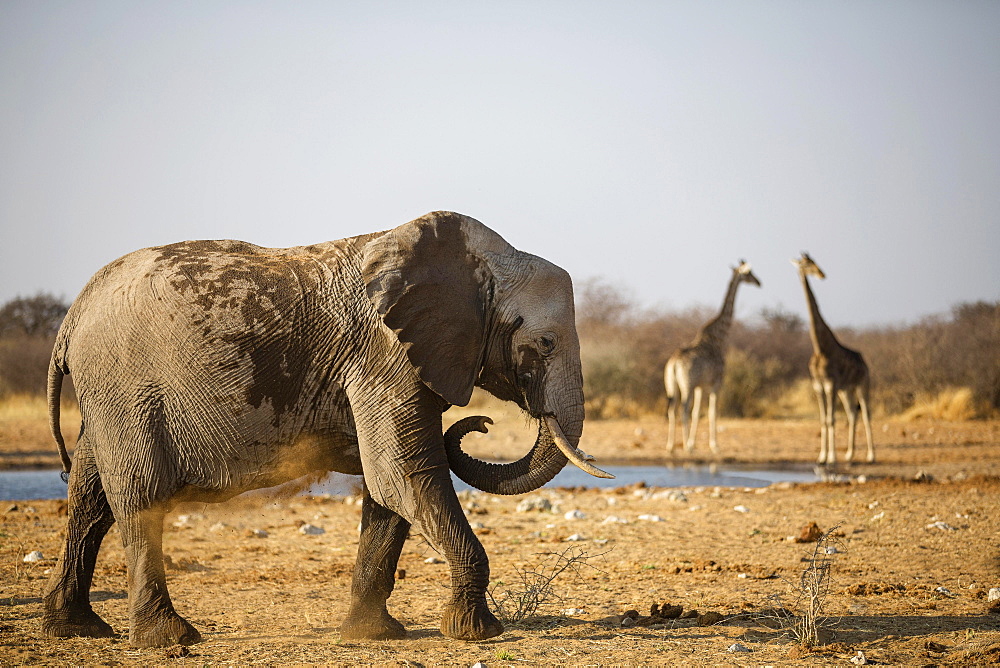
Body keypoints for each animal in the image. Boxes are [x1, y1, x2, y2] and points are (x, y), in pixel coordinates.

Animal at [41, 210, 608, 648]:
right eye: (547, 343)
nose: (482, 424)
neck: (481, 262)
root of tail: (72, 316)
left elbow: (389, 489)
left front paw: (371, 635)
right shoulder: (385, 354)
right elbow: (405, 473)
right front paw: (477, 633)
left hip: (107, 393)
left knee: (89, 496)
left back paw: (76, 629)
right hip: (125, 386)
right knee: (139, 497)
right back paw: (169, 638)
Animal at [668, 258, 760, 452]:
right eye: (748, 273)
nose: (759, 282)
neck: (719, 337)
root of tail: (673, 364)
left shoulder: (701, 386)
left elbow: (697, 413)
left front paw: (694, 442)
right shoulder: (716, 382)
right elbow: (712, 412)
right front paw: (714, 445)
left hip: (672, 385)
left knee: (672, 410)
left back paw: (671, 446)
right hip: (687, 384)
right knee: (683, 409)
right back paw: (686, 447)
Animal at [792, 252, 872, 464]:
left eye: (814, 262)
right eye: (806, 264)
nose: (821, 274)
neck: (821, 348)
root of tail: (865, 362)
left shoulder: (831, 384)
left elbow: (831, 419)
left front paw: (831, 458)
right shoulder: (819, 386)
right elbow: (823, 420)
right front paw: (822, 456)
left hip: (862, 385)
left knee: (866, 414)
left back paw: (871, 456)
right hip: (847, 390)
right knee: (852, 414)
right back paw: (850, 454)